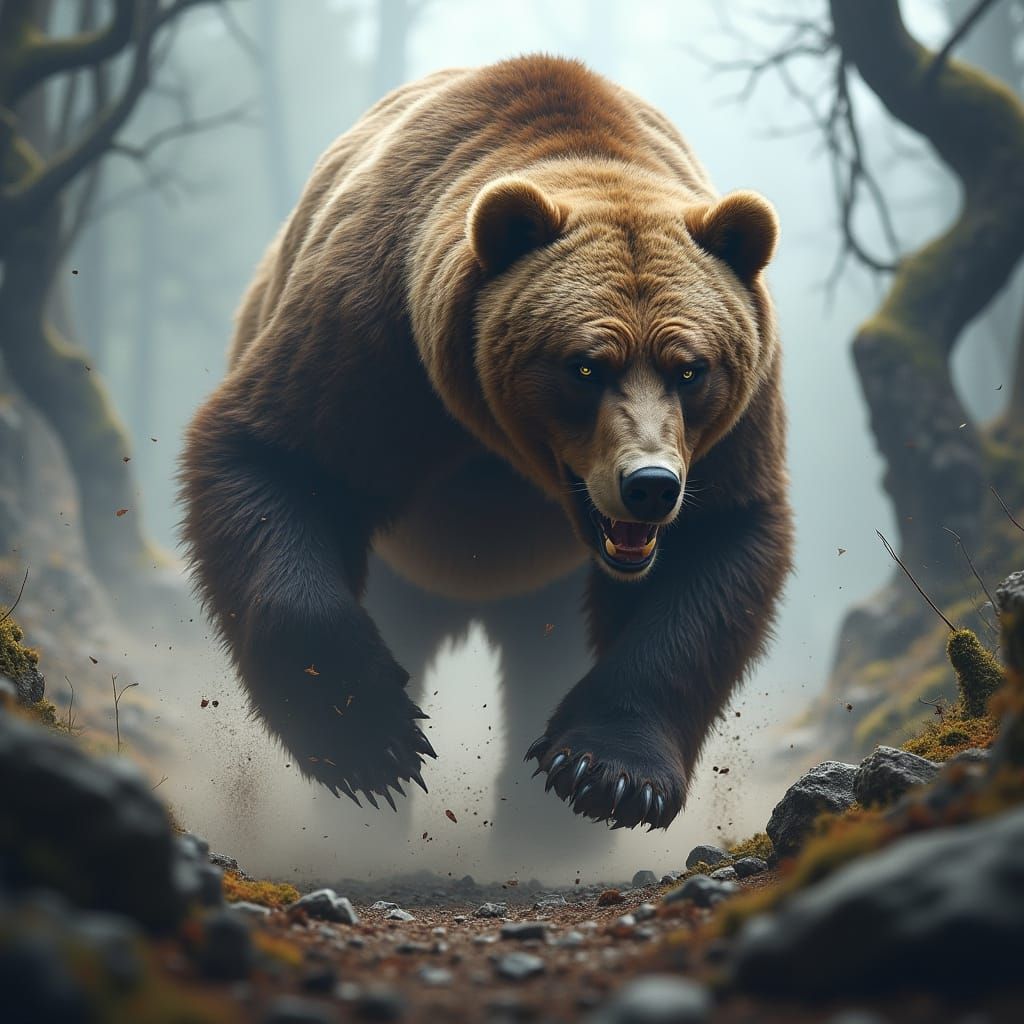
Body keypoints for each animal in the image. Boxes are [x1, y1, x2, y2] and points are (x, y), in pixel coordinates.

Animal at [181, 55, 793, 832]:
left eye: (691, 369)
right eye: (585, 366)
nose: (650, 485)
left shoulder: (731, 431)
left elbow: (714, 553)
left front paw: (607, 773)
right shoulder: (374, 337)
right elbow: (277, 460)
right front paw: (372, 742)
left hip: (544, 589)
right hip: (413, 566)